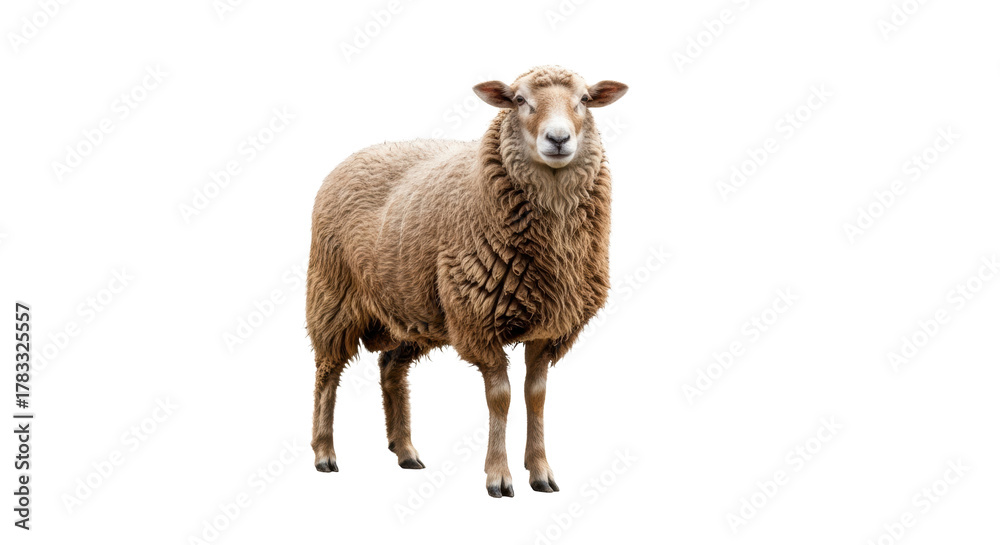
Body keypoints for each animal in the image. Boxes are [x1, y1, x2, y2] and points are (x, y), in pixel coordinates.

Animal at [307, 65, 628, 497]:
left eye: (585, 100)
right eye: (519, 100)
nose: (558, 139)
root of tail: (358, 154)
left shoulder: (548, 328)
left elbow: (536, 396)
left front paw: (540, 471)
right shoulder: (478, 319)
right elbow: (501, 397)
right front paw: (499, 476)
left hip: (415, 310)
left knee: (390, 368)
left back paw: (405, 450)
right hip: (332, 296)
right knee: (327, 373)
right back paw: (324, 453)